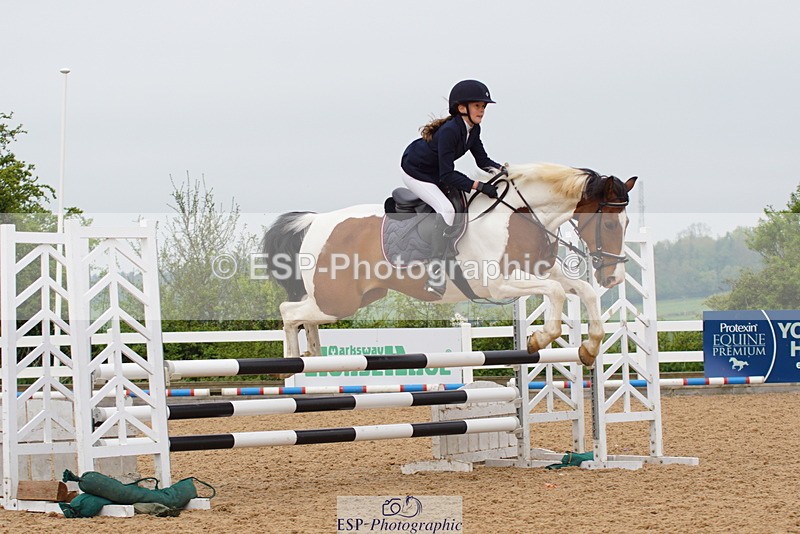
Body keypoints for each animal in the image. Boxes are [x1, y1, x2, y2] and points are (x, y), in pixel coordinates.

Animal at [262, 162, 637, 367]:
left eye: (628, 224)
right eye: (610, 225)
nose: (615, 277)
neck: (519, 215)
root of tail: (315, 221)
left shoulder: (540, 271)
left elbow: (583, 290)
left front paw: (589, 348)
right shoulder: (498, 284)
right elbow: (557, 292)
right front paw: (539, 340)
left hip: (358, 297)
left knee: (304, 313)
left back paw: (313, 354)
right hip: (339, 301)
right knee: (288, 311)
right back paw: (293, 365)